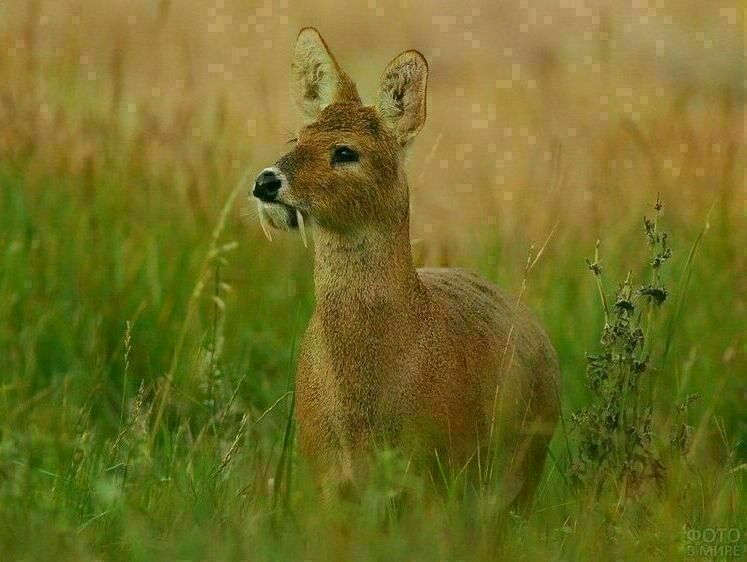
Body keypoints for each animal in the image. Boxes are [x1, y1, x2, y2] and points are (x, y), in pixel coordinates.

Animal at [253, 27, 560, 508]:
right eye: (296, 139)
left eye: (345, 152)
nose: (265, 182)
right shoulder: (322, 471)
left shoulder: (433, 468)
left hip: (523, 466)